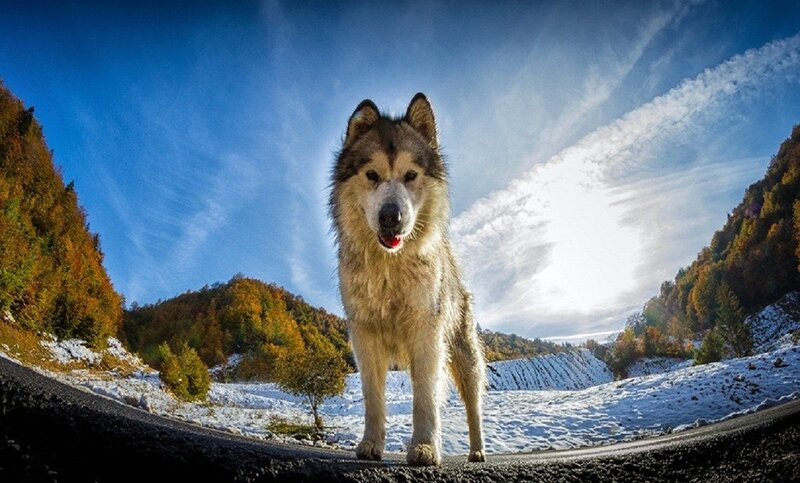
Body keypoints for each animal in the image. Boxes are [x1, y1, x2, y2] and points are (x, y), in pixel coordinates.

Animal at [329, 93, 486, 466]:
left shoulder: (426, 334)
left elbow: (425, 399)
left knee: (474, 407)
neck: (389, 268)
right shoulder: (364, 337)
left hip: (465, 358)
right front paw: (371, 444)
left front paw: (425, 448)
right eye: (372, 175)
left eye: (411, 175)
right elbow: (373, 399)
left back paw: (477, 451)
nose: (391, 217)